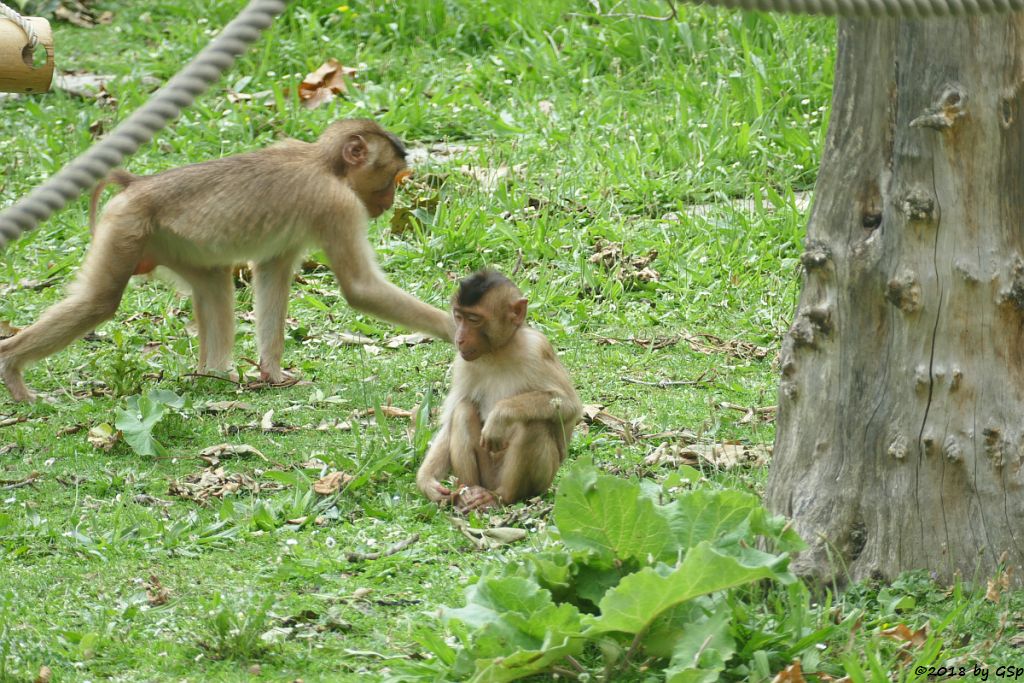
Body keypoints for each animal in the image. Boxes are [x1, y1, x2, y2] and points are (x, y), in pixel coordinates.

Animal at [0, 120, 456, 403]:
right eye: (391, 179)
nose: (389, 202)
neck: (325, 165)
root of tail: (137, 185)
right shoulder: (337, 205)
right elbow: (360, 289)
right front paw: (455, 329)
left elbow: (271, 273)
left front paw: (271, 373)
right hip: (126, 227)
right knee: (99, 301)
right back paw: (12, 365)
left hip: (168, 243)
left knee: (215, 286)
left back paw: (214, 376)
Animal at [411, 270, 581, 509]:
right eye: (459, 317)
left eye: (474, 320)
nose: (459, 339)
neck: (498, 351)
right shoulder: (463, 363)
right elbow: (449, 420)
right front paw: (427, 482)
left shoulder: (537, 348)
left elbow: (569, 405)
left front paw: (500, 415)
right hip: (485, 474)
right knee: (463, 410)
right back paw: (468, 493)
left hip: (538, 481)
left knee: (534, 425)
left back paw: (501, 496)